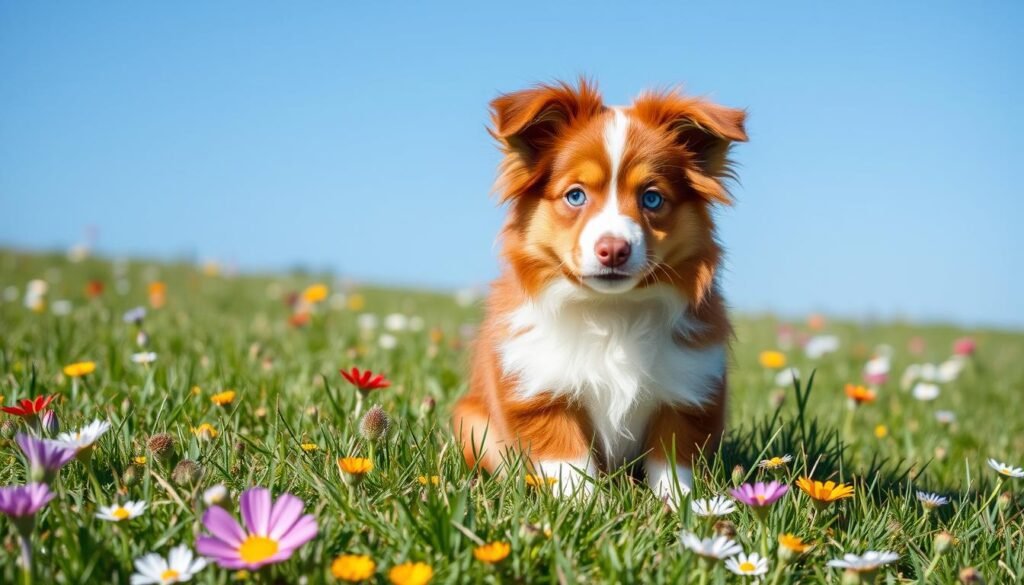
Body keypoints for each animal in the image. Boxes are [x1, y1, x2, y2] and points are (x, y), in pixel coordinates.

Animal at [452, 78, 749, 508]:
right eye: (575, 195)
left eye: (652, 198)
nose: (613, 249)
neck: (612, 309)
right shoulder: (540, 392)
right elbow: (568, 462)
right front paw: (587, 507)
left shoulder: (687, 392)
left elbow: (672, 462)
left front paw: (678, 507)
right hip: (470, 421)